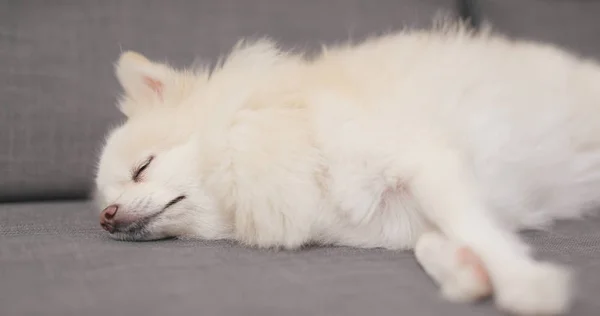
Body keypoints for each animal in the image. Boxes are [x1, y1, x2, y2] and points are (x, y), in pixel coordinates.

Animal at [92, 21, 600, 314]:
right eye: (108, 199)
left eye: (142, 167)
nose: (105, 216)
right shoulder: (401, 219)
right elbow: (432, 243)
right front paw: (465, 271)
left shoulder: (426, 164)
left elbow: (474, 228)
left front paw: (524, 283)